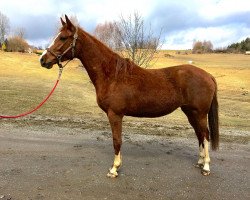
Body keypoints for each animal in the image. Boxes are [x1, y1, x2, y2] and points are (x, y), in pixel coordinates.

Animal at [40, 15, 218, 177]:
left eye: (63, 37)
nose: (43, 59)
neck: (112, 75)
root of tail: (208, 75)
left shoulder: (115, 114)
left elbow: (116, 141)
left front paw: (114, 169)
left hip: (199, 113)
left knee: (205, 135)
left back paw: (206, 167)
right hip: (190, 112)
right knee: (199, 134)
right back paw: (200, 162)